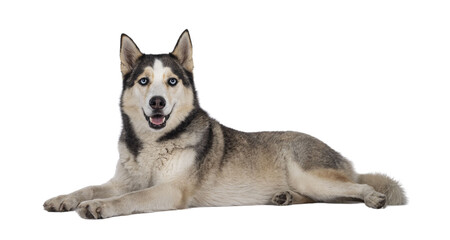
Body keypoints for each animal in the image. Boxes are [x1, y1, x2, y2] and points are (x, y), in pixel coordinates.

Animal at [44, 30, 406, 219]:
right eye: (144, 81)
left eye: (172, 81)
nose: (157, 102)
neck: (152, 144)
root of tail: (342, 158)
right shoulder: (122, 180)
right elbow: (90, 187)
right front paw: (66, 198)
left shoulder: (171, 190)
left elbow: (128, 199)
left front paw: (99, 206)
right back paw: (286, 198)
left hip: (313, 176)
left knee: (355, 188)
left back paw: (374, 197)